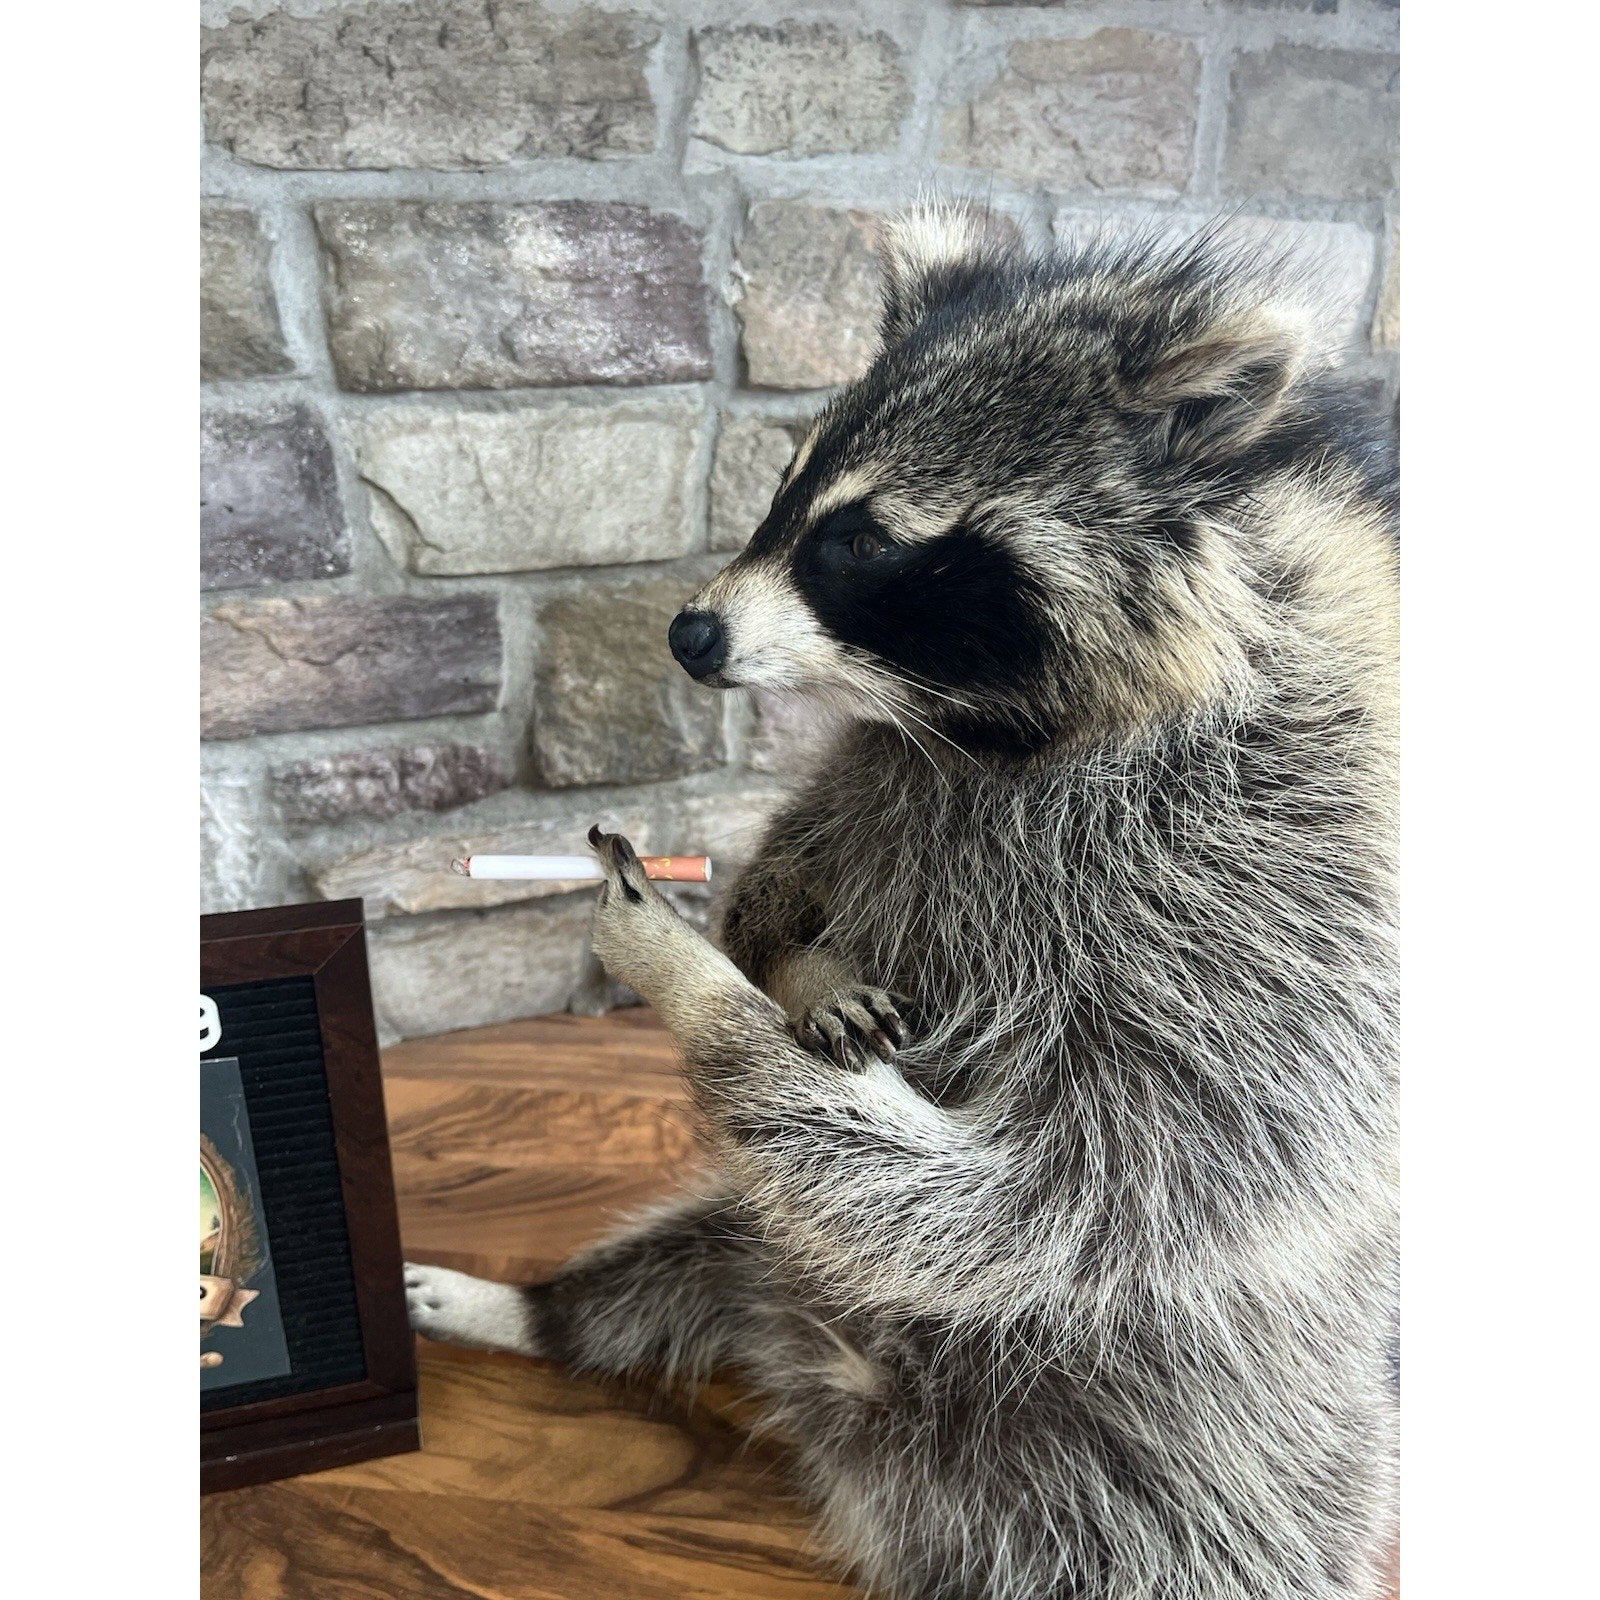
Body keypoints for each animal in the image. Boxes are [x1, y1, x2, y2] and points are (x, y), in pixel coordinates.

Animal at [406, 206, 1399, 1600]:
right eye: (782, 490)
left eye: (865, 540)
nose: (690, 634)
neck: (987, 733)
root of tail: (835, 1395)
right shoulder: (875, 778)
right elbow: (773, 894)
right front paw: (787, 967)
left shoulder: (1273, 897)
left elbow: (1068, 1197)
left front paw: (700, 981)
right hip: (758, 1246)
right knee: (685, 1255)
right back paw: (535, 1311)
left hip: (1179, 1496)